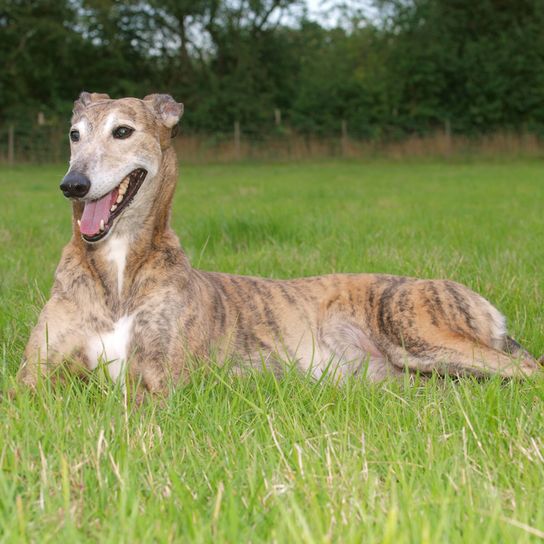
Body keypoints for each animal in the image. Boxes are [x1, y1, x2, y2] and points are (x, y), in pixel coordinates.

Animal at [17, 93, 540, 396]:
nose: (72, 185)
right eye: (74, 135)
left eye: (122, 131)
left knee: (530, 368)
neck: (119, 268)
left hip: (422, 333)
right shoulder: (30, 379)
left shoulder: (162, 380)